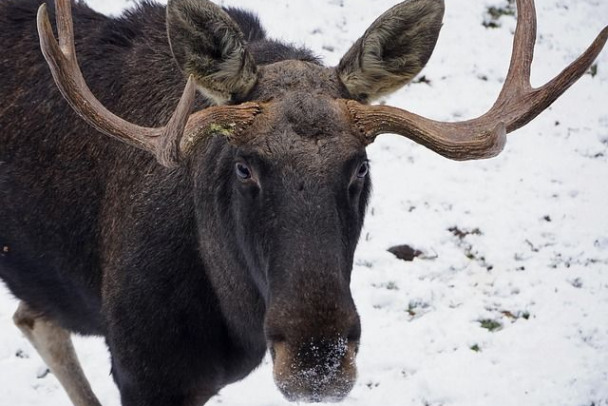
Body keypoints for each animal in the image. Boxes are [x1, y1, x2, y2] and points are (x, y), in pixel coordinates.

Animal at [0, 0, 604, 404]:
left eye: (361, 165)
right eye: (243, 166)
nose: (319, 360)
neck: (232, 318)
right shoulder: (143, 368)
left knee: (32, 315)